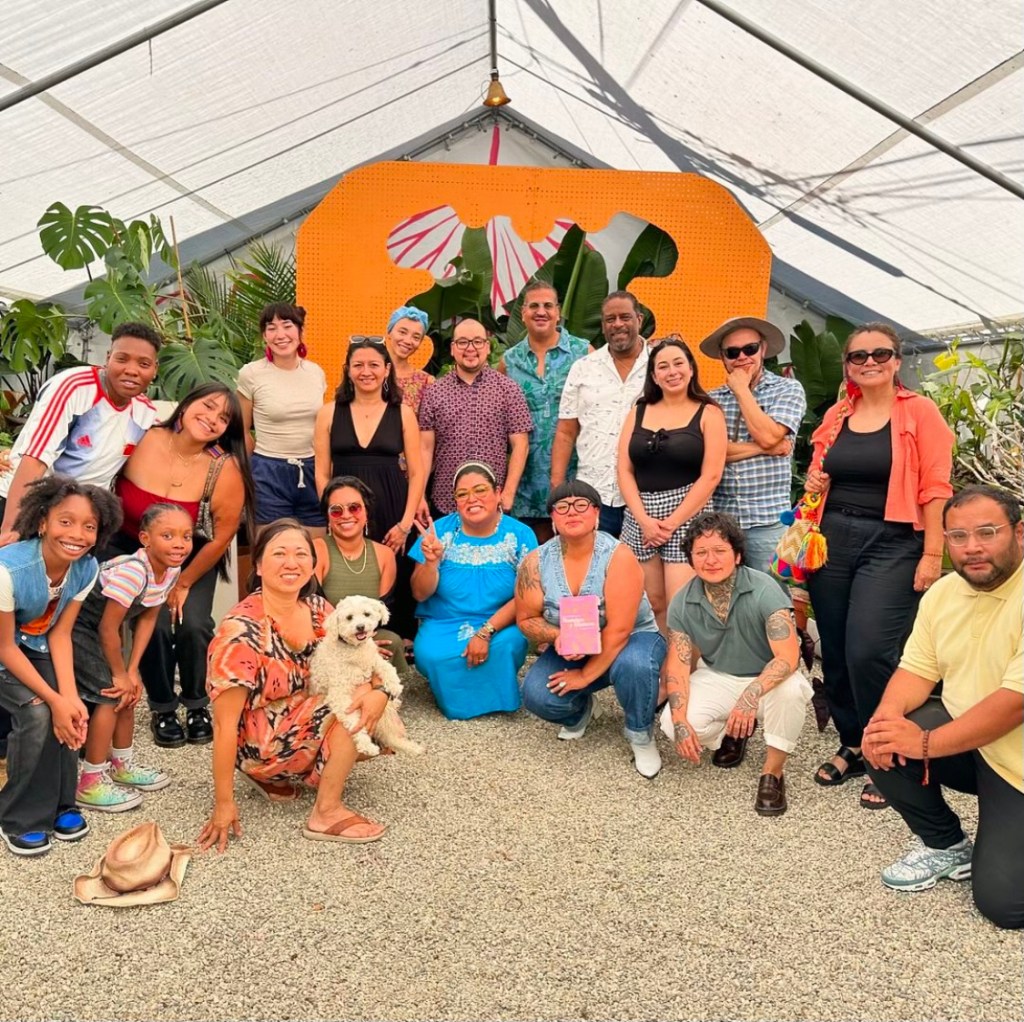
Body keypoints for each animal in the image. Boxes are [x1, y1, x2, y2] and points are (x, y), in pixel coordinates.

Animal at [309, 595, 424, 758]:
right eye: (349, 617)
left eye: (366, 614)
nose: (360, 627)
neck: (354, 649)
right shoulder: (339, 695)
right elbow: (353, 721)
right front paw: (365, 745)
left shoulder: (374, 659)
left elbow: (386, 667)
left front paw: (394, 686)